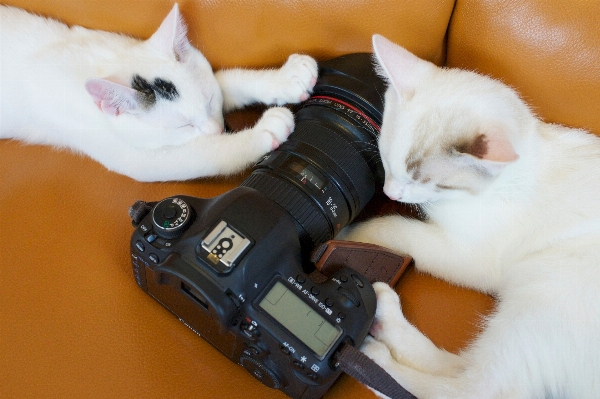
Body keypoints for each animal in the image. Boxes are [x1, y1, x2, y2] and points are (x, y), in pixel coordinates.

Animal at [0, 3, 318, 182]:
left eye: (210, 102)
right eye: (183, 126)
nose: (219, 129)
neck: (102, 62)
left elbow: (228, 80)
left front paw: (285, 77)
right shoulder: (133, 158)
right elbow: (203, 154)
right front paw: (263, 130)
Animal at [342, 34, 600, 399]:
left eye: (432, 182)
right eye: (386, 160)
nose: (391, 194)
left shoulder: (473, 256)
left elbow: (395, 229)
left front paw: (351, 233)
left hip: (545, 291)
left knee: (473, 388)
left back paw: (374, 357)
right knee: (458, 368)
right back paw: (383, 321)